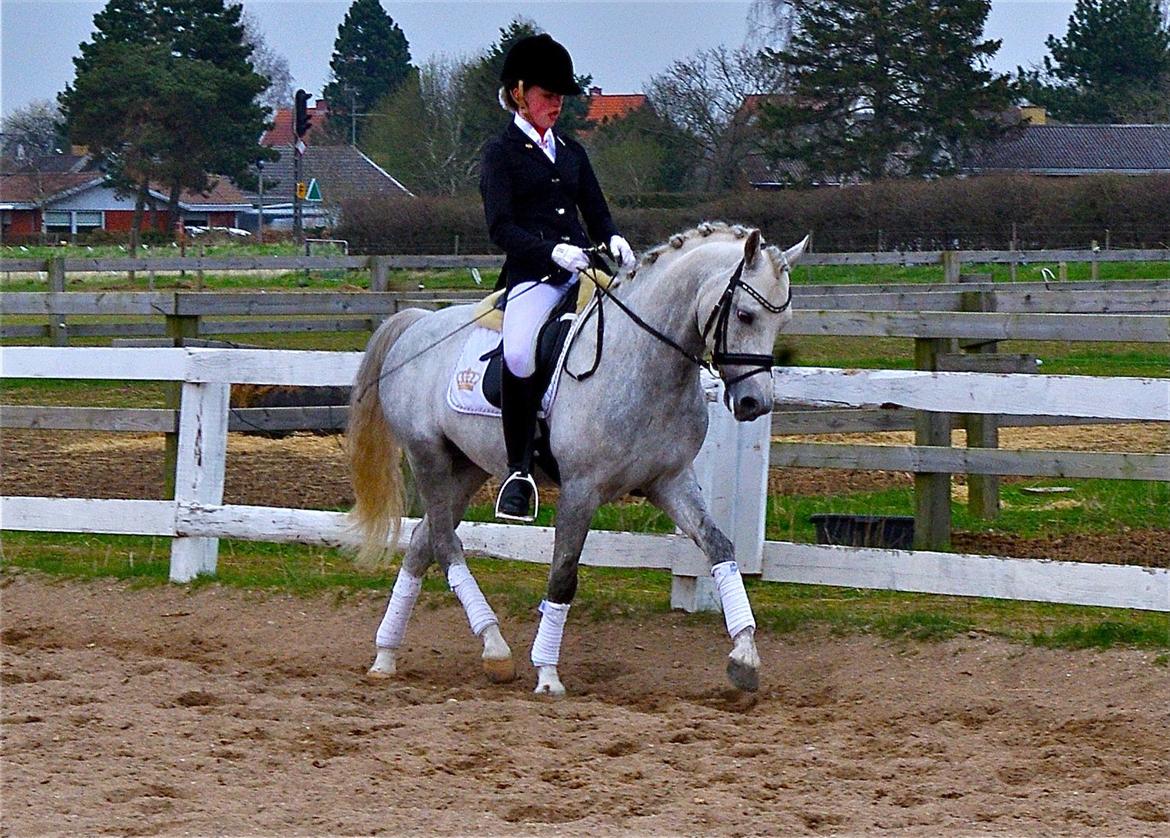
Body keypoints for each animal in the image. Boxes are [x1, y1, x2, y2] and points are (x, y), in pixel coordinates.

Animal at [347, 222, 807, 696]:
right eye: (745, 315)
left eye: (783, 321)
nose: (755, 403)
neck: (642, 360)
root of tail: (418, 323)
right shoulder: (581, 490)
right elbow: (564, 574)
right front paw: (548, 675)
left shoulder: (672, 480)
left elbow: (719, 547)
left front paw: (745, 656)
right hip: (429, 458)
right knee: (443, 543)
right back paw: (493, 649)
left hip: (466, 467)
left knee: (423, 543)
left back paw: (390, 656)